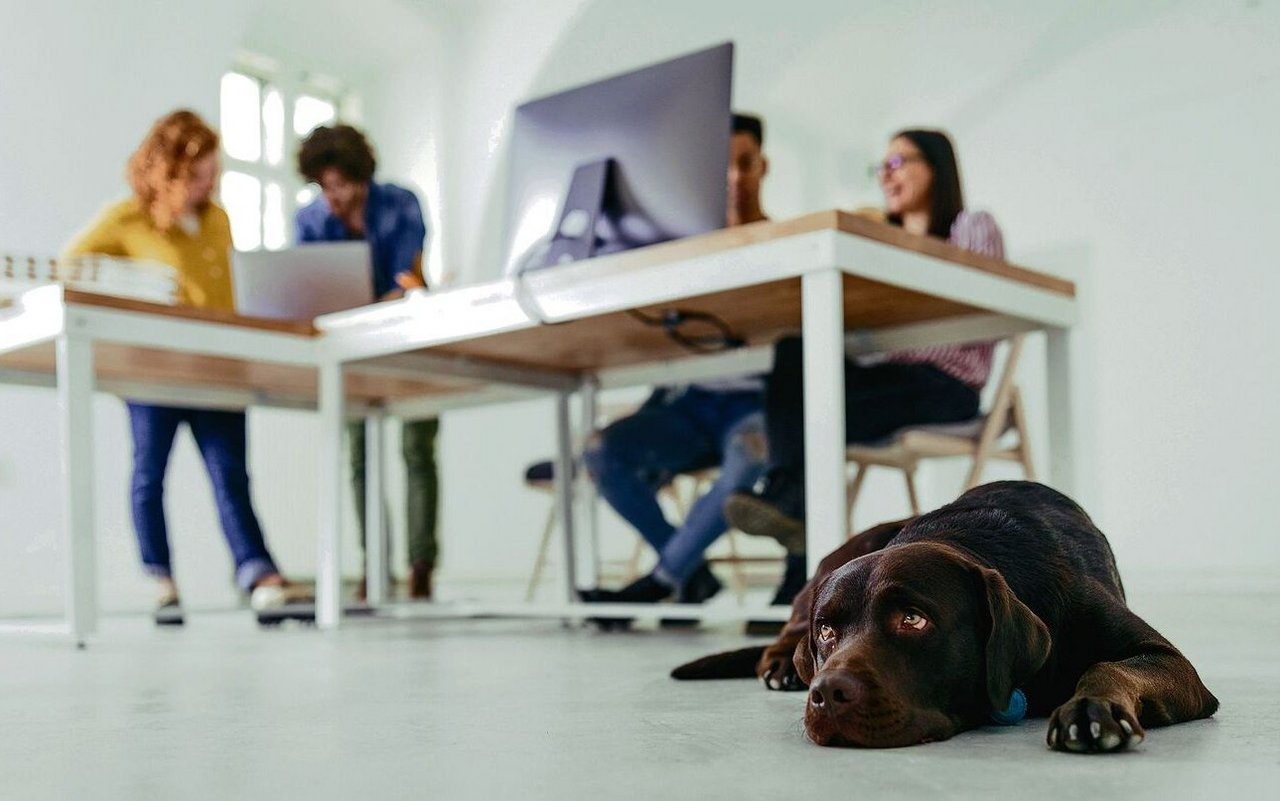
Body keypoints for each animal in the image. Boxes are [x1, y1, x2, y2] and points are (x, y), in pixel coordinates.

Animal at [670, 481, 1218, 747]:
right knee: (784, 631)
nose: (827, 693)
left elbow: (1108, 665)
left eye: (914, 620)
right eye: (828, 630)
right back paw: (783, 663)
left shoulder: (1167, 659)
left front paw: (1090, 709)